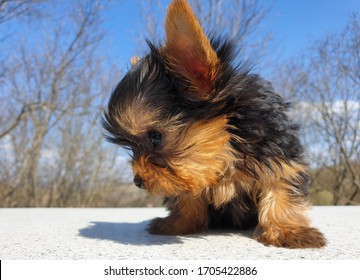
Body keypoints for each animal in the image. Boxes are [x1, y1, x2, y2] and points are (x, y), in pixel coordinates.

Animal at [102, 0, 328, 248]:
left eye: (155, 137)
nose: (138, 181)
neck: (227, 145)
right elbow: (188, 198)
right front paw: (179, 223)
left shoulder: (277, 155)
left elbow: (280, 186)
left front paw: (287, 229)